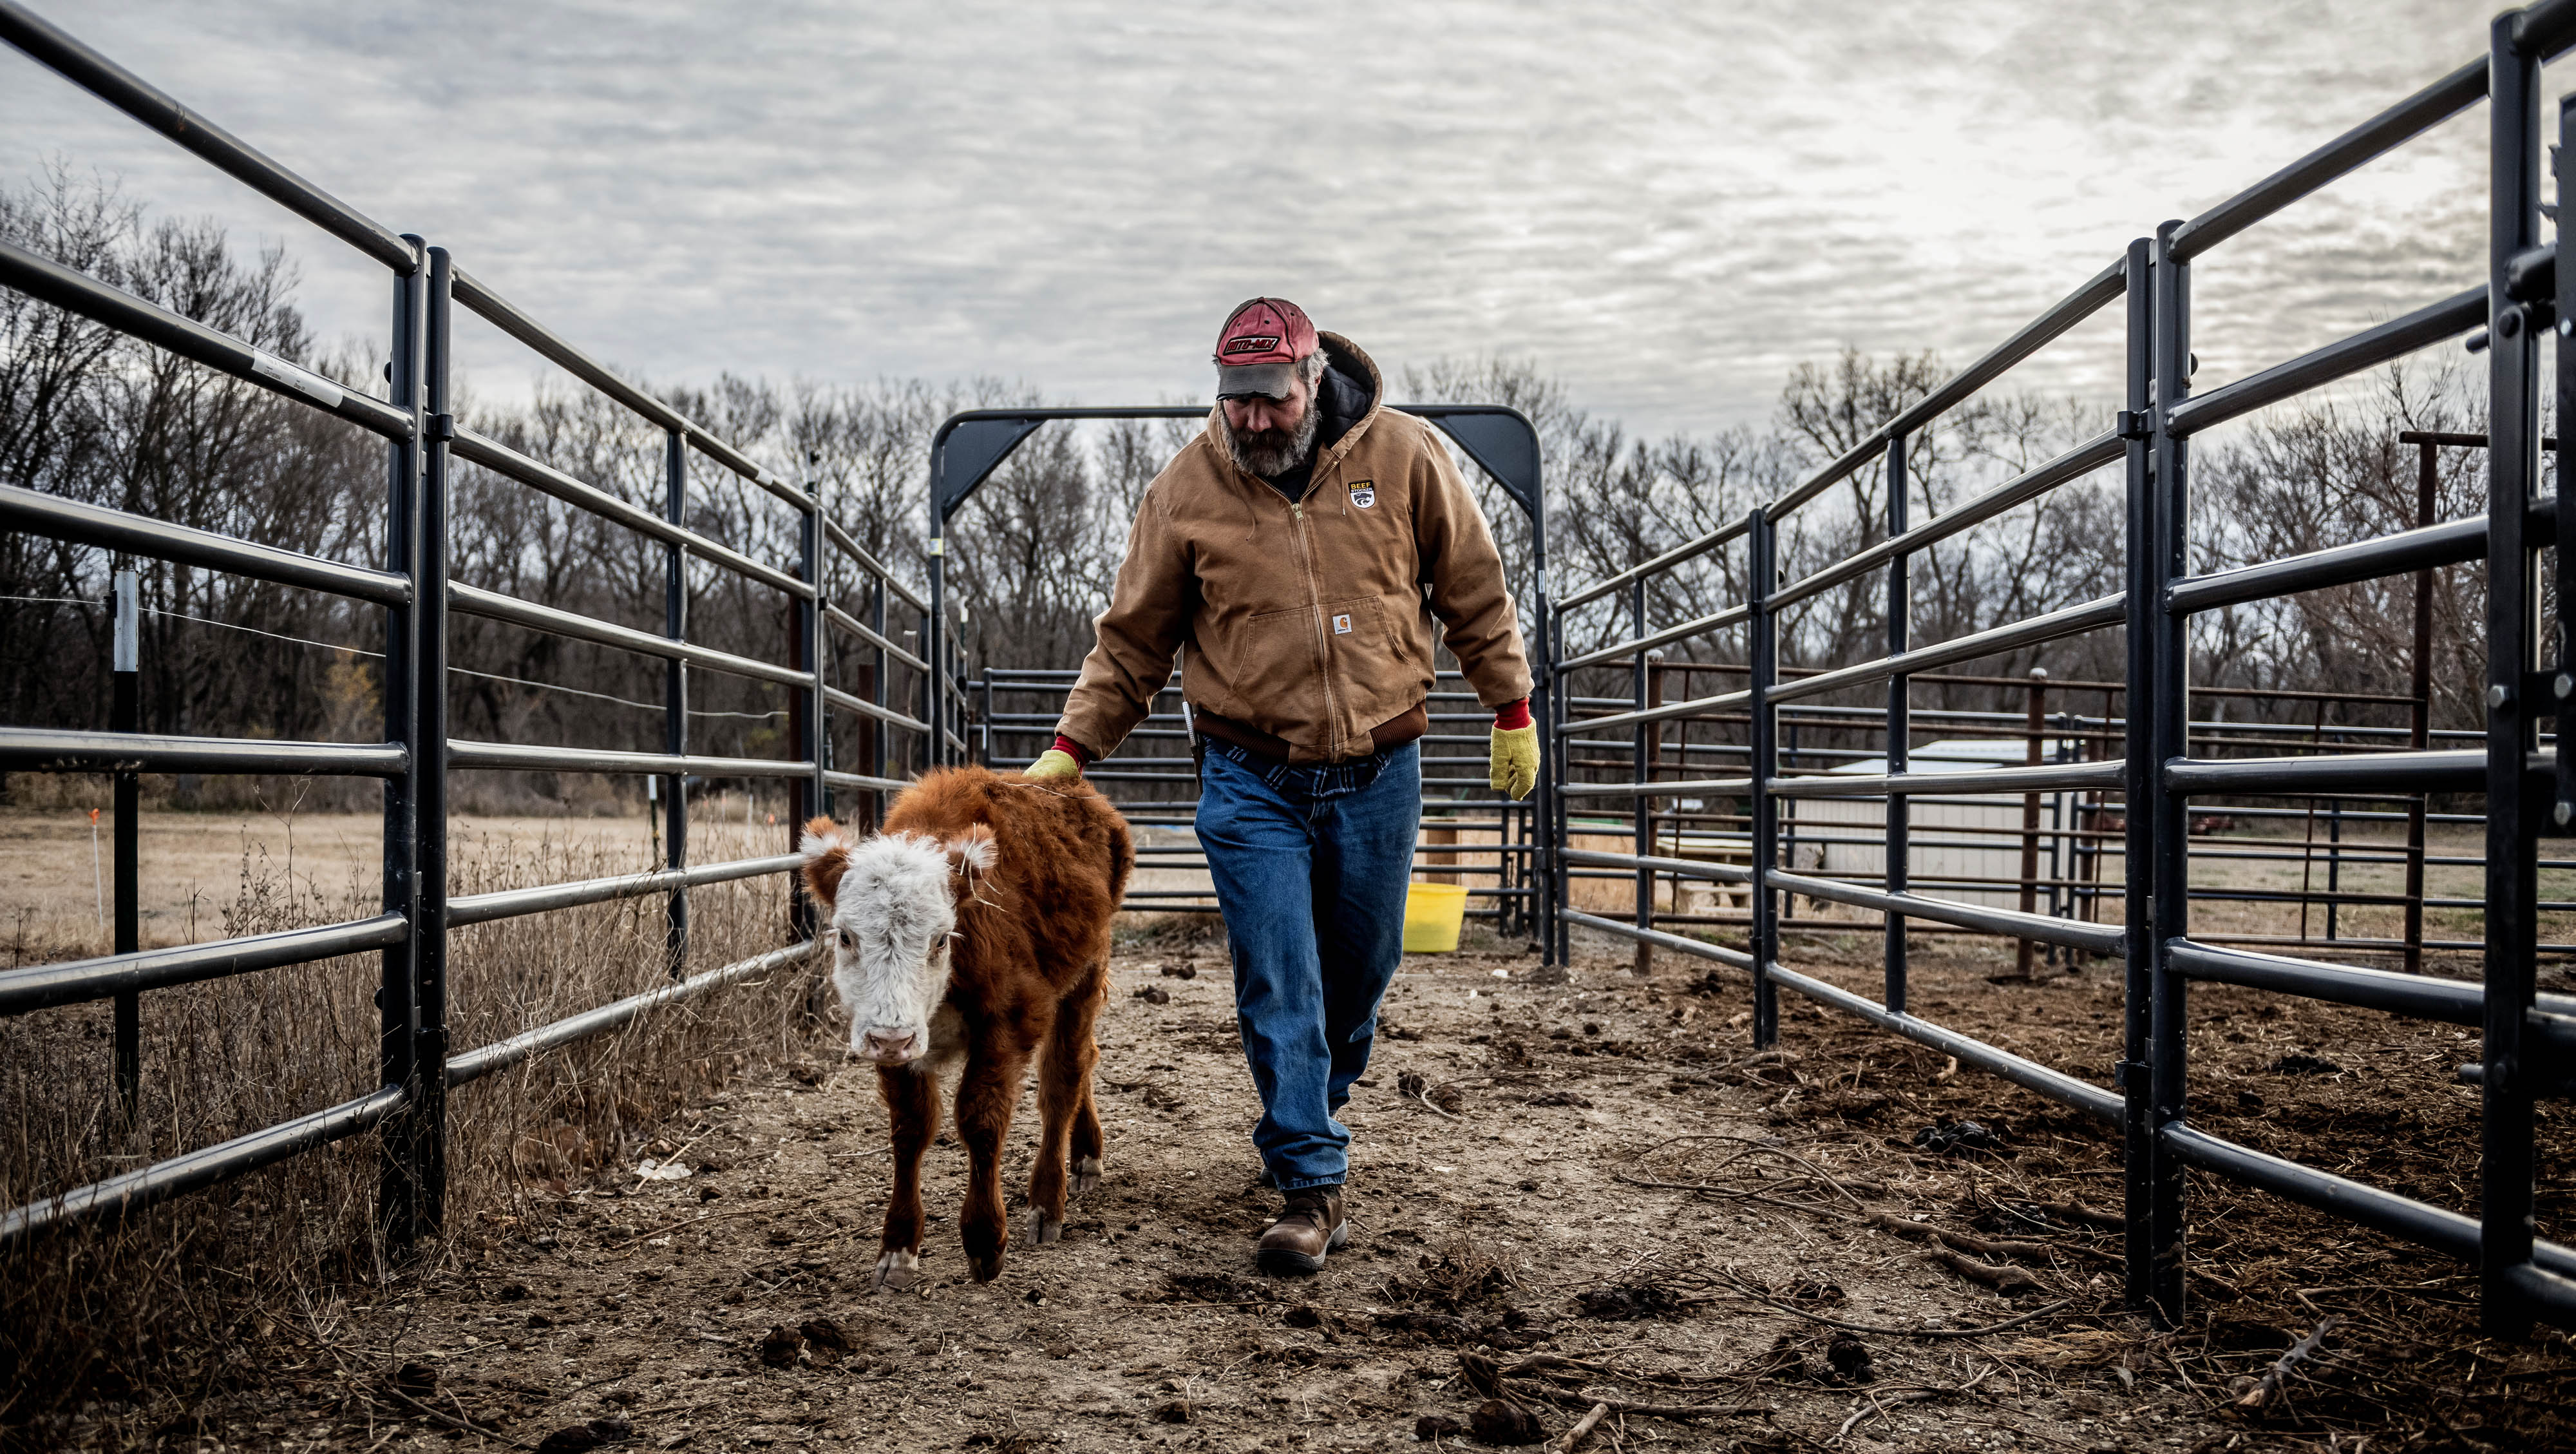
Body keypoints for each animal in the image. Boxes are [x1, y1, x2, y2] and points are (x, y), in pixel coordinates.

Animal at [799, 768, 1133, 1288]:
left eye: (941, 939)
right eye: (847, 936)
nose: (891, 1037)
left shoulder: (1010, 1020)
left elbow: (981, 1121)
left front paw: (984, 1237)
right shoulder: (896, 1044)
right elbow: (911, 1129)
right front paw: (898, 1246)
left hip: (1086, 972)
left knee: (1064, 1078)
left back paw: (1047, 1201)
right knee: (1085, 1063)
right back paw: (1084, 1153)